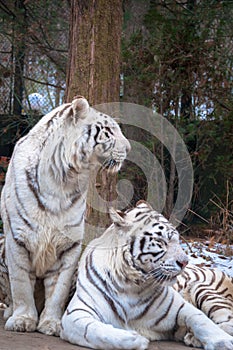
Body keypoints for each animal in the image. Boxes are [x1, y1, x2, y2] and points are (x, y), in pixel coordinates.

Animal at [0, 95, 129, 336]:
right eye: (109, 131)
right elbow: (21, 284)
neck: (62, 180)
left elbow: (58, 289)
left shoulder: (69, 244)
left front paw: (51, 323)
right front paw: (22, 320)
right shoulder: (17, 239)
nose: (129, 148)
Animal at [61, 201, 233, 348]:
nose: (185, 262)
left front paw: (223, 341)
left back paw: (194, 338)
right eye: (161, 241)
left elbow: (201, 320)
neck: (130, 283)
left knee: (227, 322)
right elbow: (96, 332)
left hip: (203, 289)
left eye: (177, 239)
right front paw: (136, 339)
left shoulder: (181, 307)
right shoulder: (76, 314)